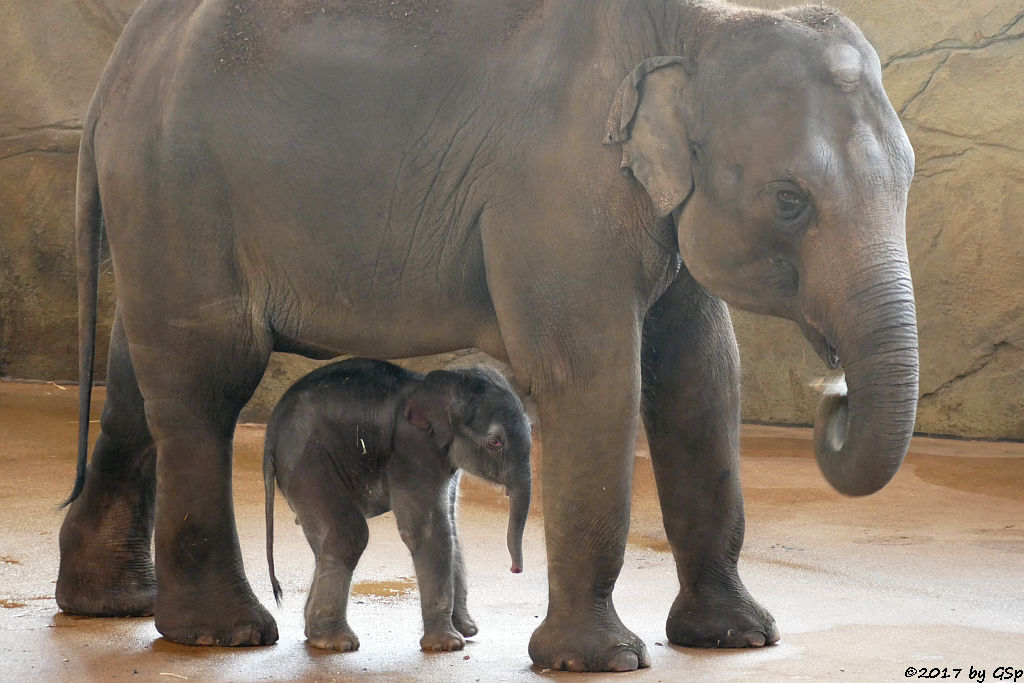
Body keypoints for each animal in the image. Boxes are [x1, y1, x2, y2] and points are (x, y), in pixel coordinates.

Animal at [264, 358, 532, 651]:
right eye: (495, 442)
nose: (516, 569)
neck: (442, 383)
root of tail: (271, 431)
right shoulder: (411, 451)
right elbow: (428, 531)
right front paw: (448, 644)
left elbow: (450, 527)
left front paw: (467, 630)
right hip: (309, 461)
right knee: (347, 535)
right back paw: (337, 642)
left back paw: (316, 635)